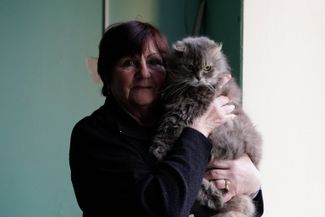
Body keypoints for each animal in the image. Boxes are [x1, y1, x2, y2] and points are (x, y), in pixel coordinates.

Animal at [149, 36, 260, 217]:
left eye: (207, 68)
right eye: (189, 66)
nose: (199, 78)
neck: (187, 89)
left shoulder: (184, 111)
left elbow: (167, 131)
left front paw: (157, 149)